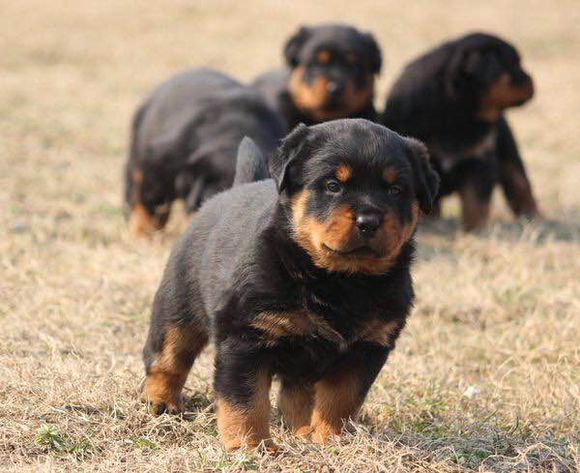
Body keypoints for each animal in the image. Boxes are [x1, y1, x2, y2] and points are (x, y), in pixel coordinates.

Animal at [386, 31, 540, 230]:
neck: (459, 110)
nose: (531, 81)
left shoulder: (479, 159)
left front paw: (475, 230)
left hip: (508, 152)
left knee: (519, 182)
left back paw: (534, 217)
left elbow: (476, 201)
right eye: (513, 66)